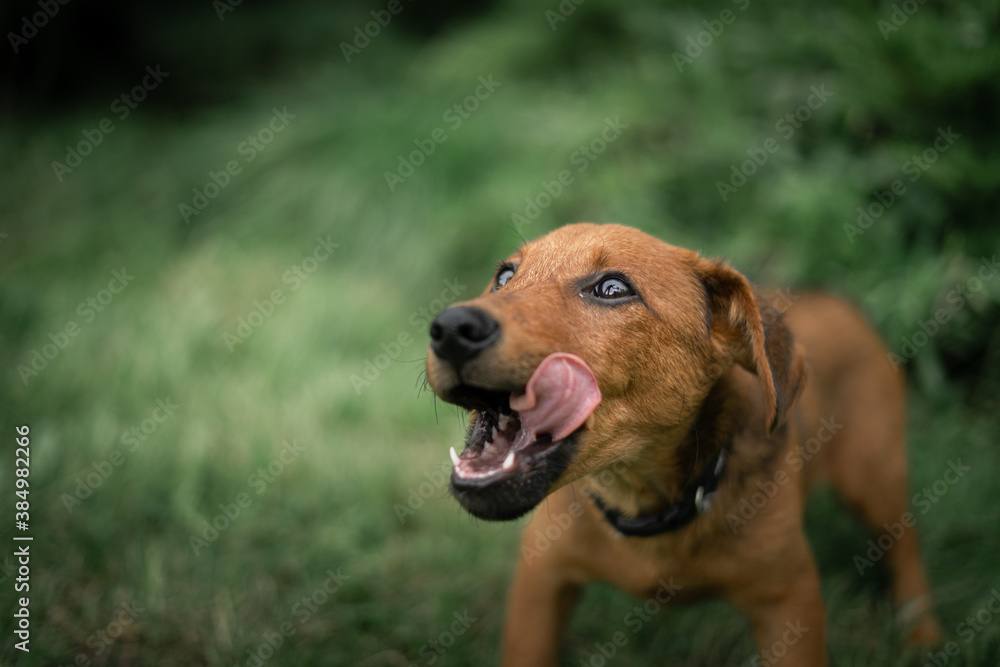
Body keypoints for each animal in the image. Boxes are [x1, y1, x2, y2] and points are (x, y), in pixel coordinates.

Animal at [426, 223, 940, 664]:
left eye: (612, 289)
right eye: (504, 276)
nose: (451, 327)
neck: (642, 502)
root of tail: (831, 295)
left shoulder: (790, 599)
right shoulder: (541, 578)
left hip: (874, 474)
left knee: (906, 544)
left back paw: (922, 635)